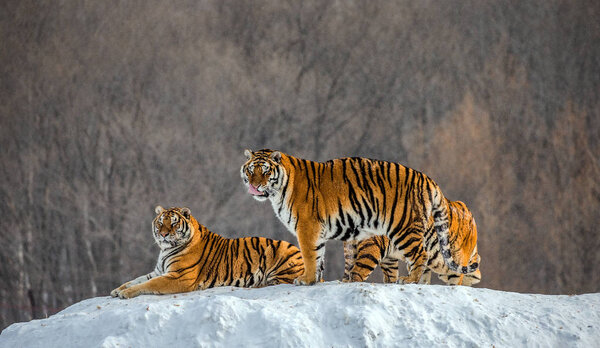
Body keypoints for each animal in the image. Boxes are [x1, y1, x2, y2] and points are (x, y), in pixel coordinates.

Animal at [110, 207, 304, 300]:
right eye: (160, 223)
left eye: (173, 223)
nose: (163, 234)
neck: (165, 250)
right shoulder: (159, 271)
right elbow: (136, 280)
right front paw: (117, 290)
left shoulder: (178, 276)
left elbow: (148, 284)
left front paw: (125, 293)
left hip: (281, 255)